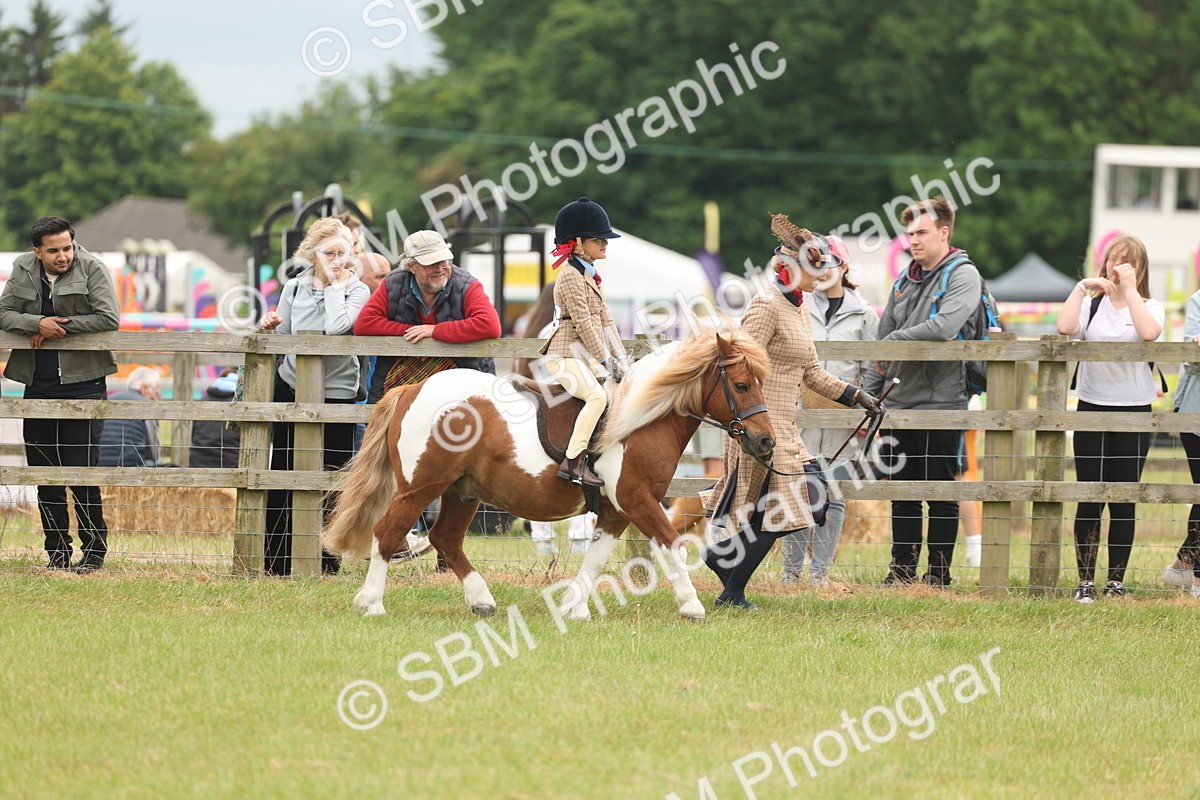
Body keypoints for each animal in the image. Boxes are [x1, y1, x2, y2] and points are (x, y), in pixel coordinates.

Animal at [322, 328, 776, 622]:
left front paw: (574, 608)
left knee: (445, 538)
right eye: (741, 384)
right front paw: (692, 605)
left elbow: (595, 558)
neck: (642, 420)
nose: (766, 441)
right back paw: (372, 602)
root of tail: (412, 390)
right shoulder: (638, 501)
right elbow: (671, 546)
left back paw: (481, 600)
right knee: (388, 533)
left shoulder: (616, 512)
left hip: (462, 492)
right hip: (421, 487)